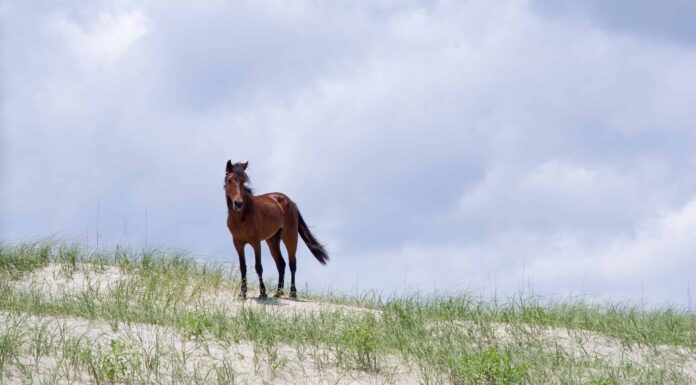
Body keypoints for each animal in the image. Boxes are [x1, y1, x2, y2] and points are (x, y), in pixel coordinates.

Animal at [224, 159, 330, 296]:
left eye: (243, 181)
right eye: (229, 180)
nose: (238, 203)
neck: (242, 216)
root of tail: (291, 202)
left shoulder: (256, 242)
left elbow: (258, 267)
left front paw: (263, 293)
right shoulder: (238, 243)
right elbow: (243, 267)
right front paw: (242, 293)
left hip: (290, 237)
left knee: (292, 263)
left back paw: (292, 292)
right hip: (272, 241)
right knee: (281, 264)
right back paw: (279, 292)